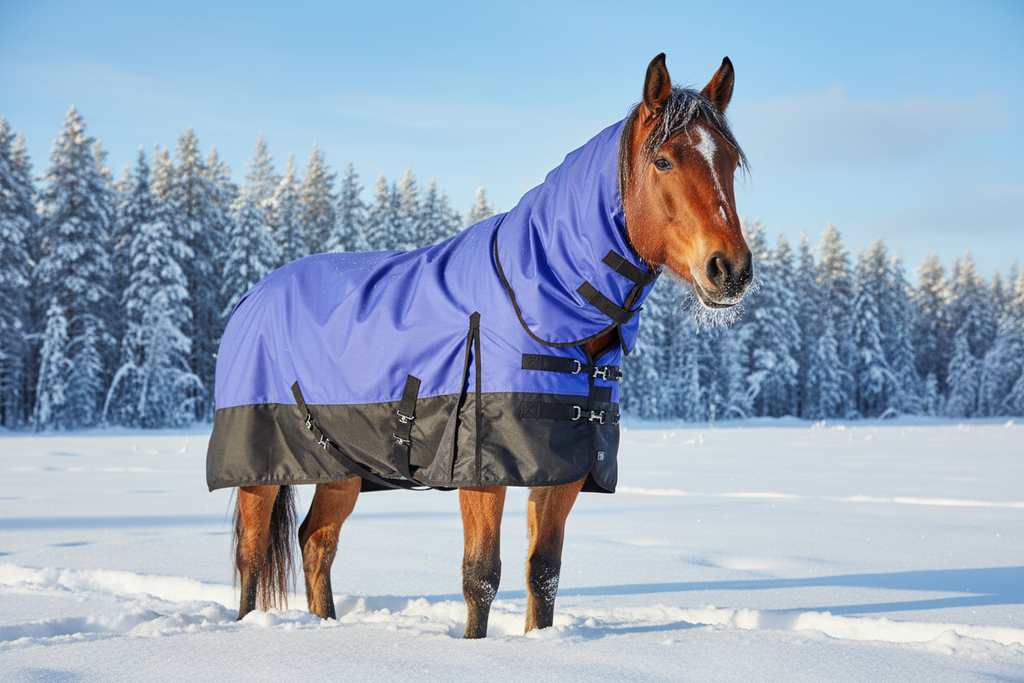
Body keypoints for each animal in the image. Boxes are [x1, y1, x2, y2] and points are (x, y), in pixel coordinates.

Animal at [211, 54, 752, 638]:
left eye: (730, 161)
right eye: (664, 161)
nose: (731, 270)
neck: (539, 297)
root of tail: (253, 295)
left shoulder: (561, 469)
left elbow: (544, 573)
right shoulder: (480, 472)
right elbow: (481, 576)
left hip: (342, 467)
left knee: (317, 543)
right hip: (260, 469)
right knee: (253, 555)